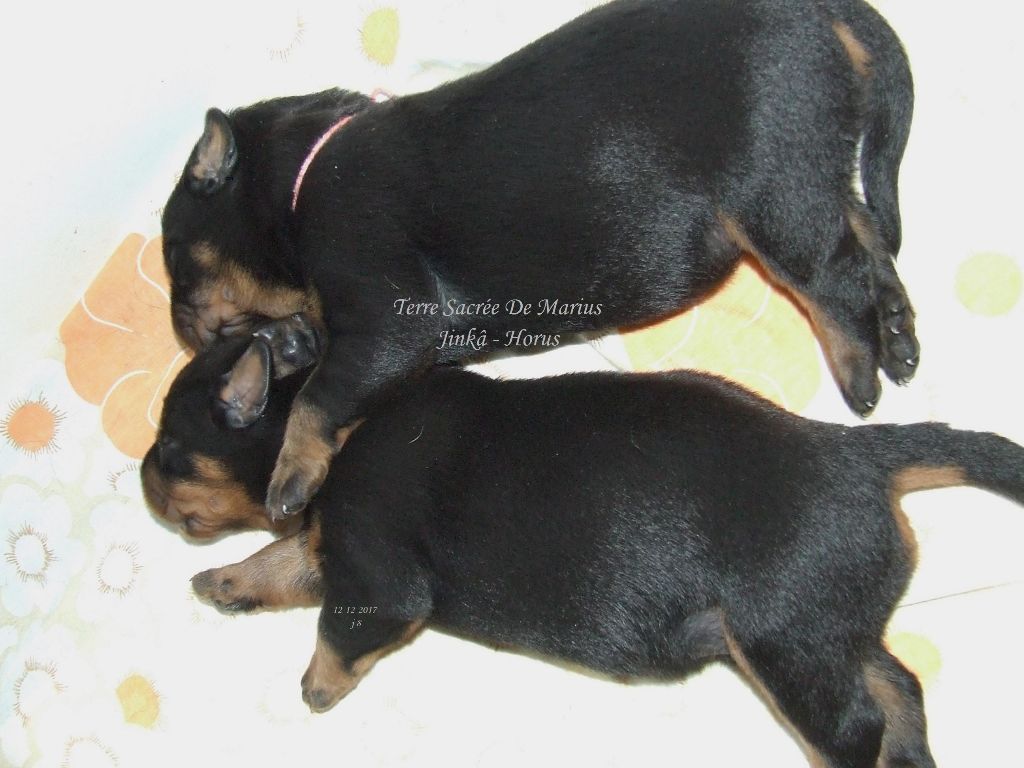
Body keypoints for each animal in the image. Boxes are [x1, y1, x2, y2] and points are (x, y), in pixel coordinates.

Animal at [142, 319, 1022, 768]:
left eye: (174, 451)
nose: (144, 480)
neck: (337, 424)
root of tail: (855, 453)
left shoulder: (378, 576)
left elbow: (338, 629)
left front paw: (316, 688)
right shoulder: (332, 545)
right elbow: (283, 560)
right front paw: (226, 581)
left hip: (784, 640)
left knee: (855, 725)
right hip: (825, 626)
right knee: (898, 685)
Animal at [160, 0, 918, 520]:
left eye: (172, 256)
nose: (179, 329)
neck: (299, 183)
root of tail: (816, 10)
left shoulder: (386, 309)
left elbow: (320, 395)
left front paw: (290, 473)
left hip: (771, 187)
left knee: (833, 276)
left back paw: (859, 371)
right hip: (807, 167)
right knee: (864, 230)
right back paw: (898, 334)